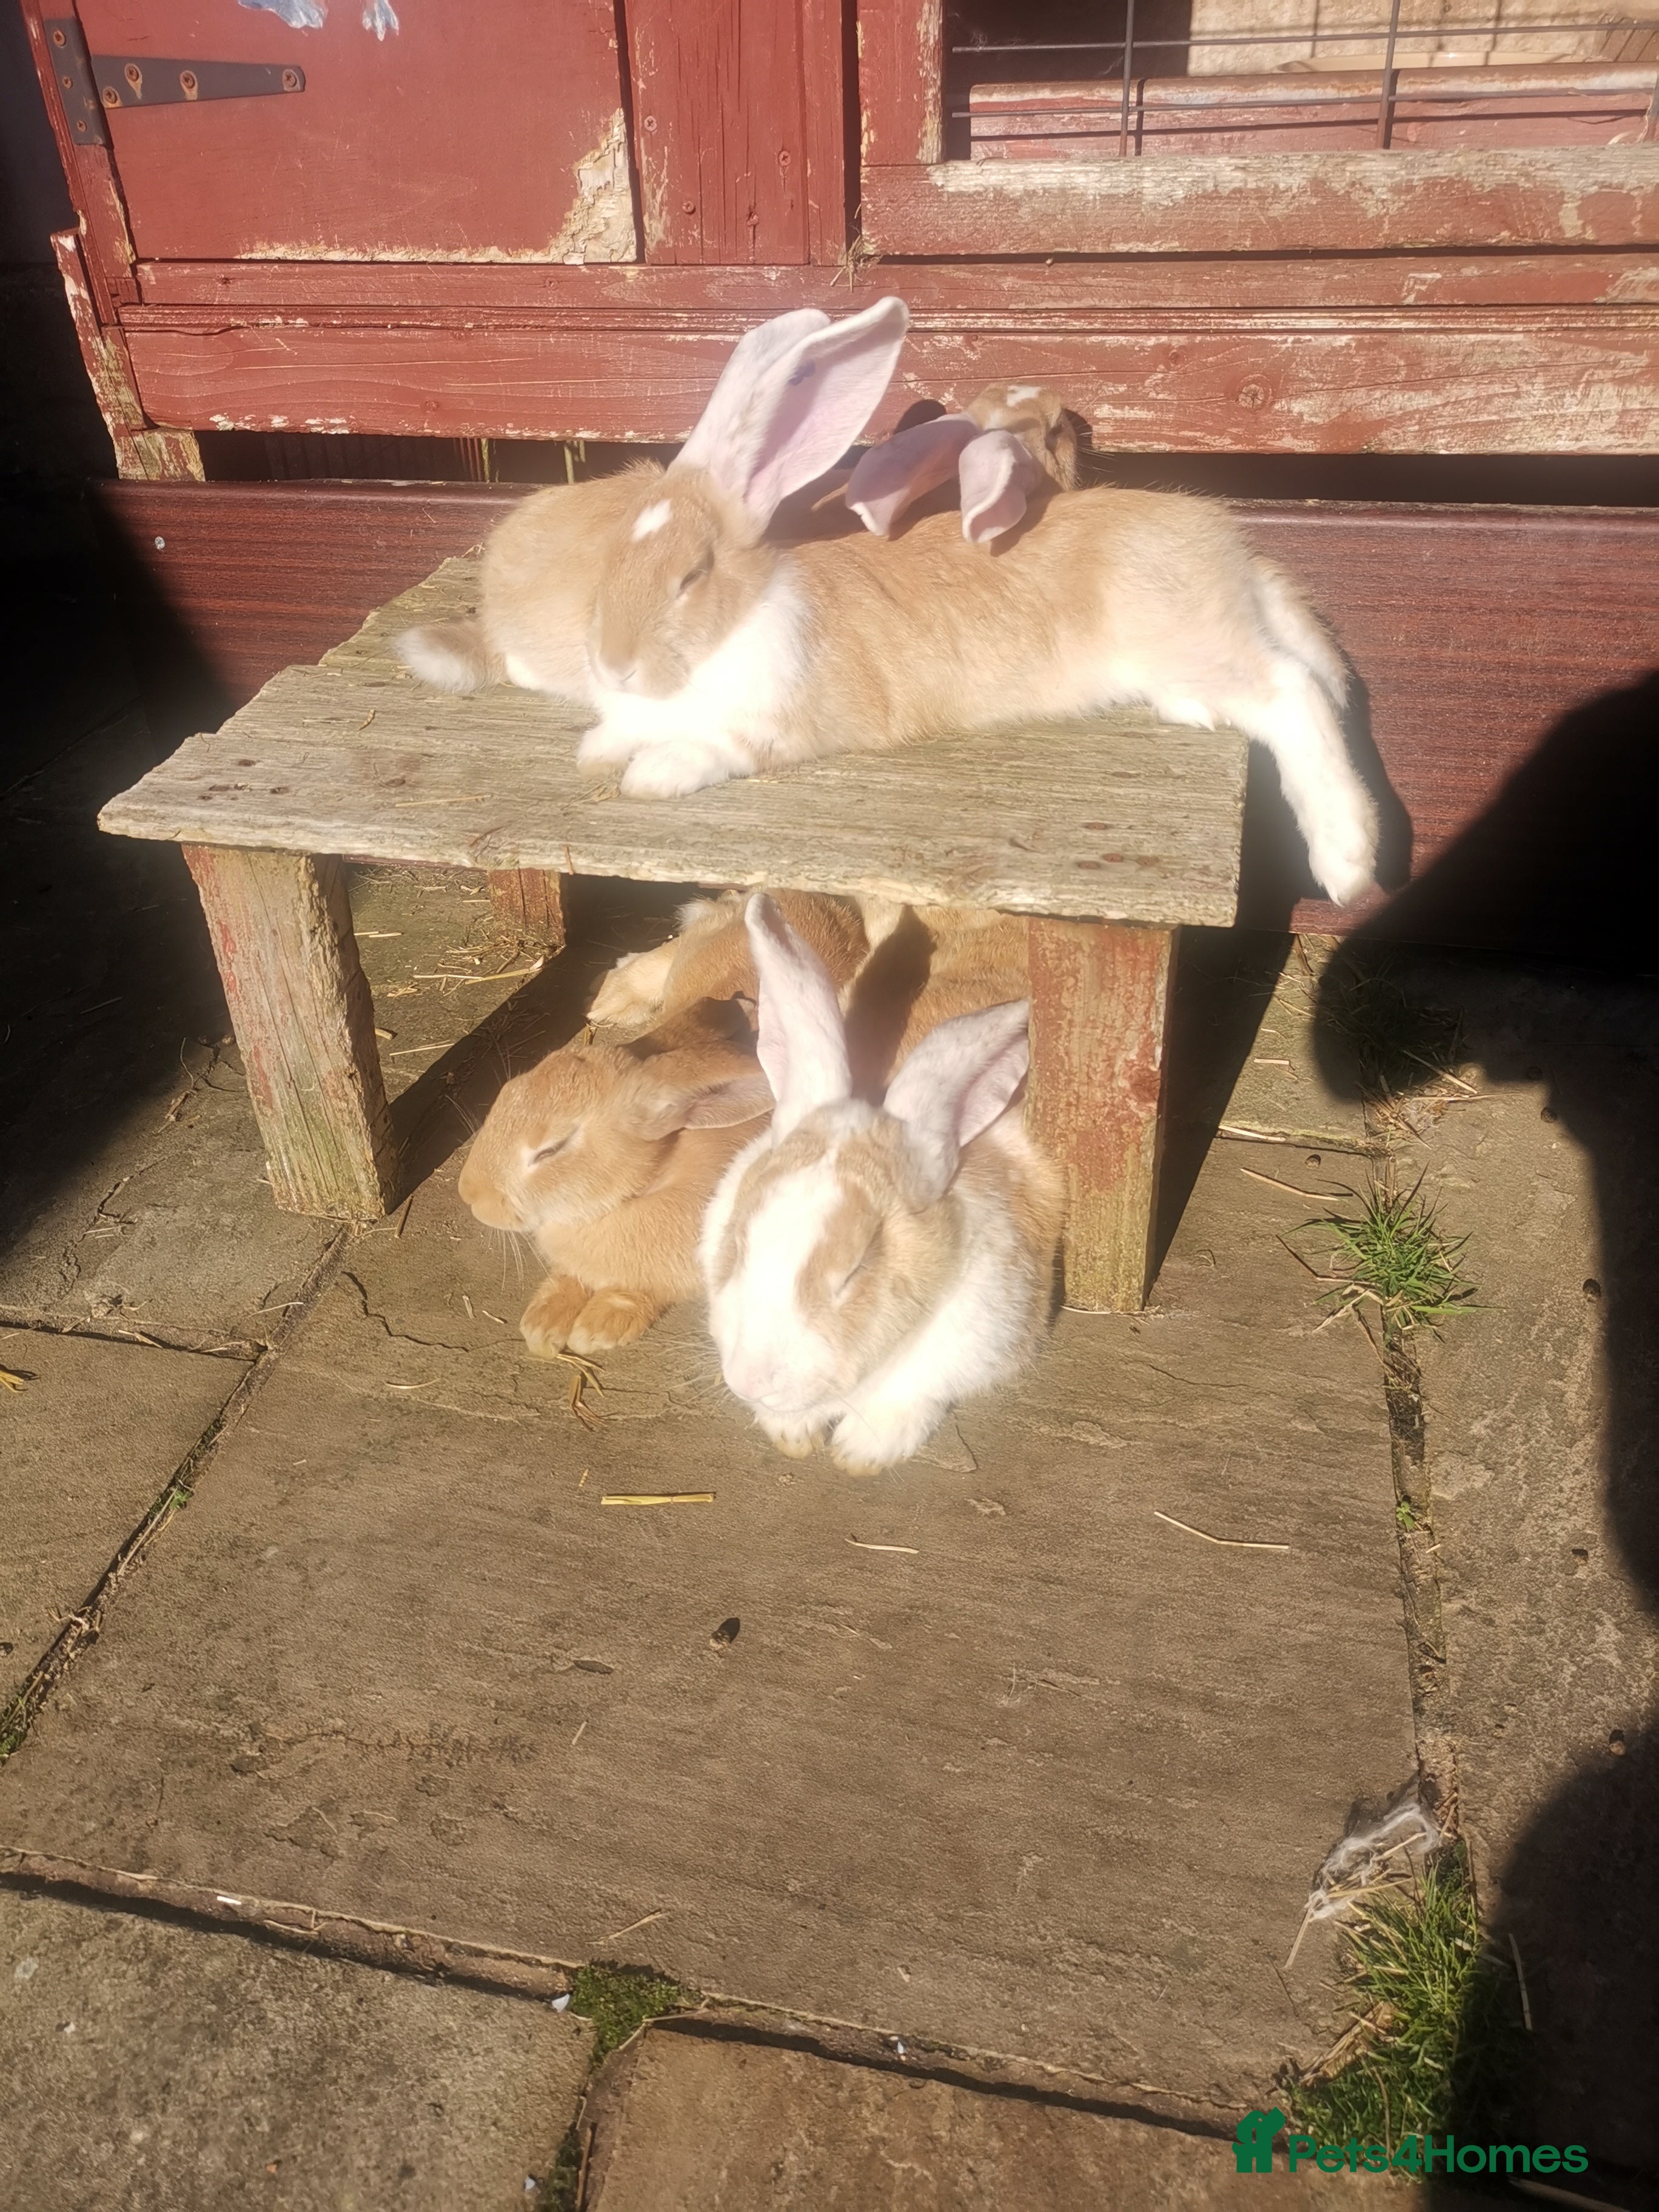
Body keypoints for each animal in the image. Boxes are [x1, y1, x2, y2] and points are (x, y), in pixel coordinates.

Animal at [570, 296, 1378, 906]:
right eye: (611, 559)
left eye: (691, 578)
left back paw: (1347, 861)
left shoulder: (780, 724)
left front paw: (653, 773)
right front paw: (598, 747)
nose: (612, 665)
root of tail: (1224, 544)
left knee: (1292, 691)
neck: (735, 626)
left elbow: (719, 746)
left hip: (1191, 639)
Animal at [701, 895, 1063, 1472]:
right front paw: (791, 1432)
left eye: (855, 1272)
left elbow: (912, 1395)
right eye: (738, 1244)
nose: (749, 1380)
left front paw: (860, 1452)